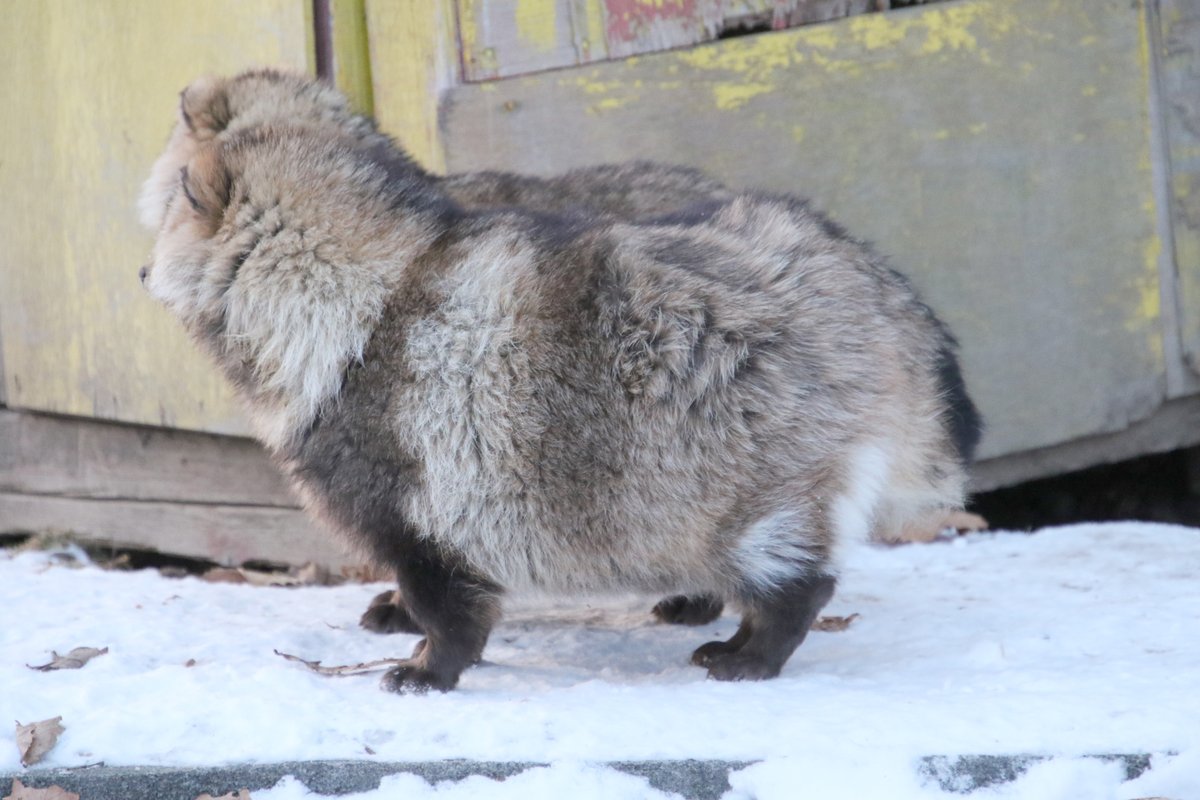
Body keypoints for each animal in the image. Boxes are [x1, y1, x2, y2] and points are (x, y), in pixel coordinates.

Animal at [142, 71, 984, 690]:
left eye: (168, 216)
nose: (142, 273)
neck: (362, 285)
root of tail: (869, 282)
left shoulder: (410, 483)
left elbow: (443, 590)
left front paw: (432, 663)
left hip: (755, 467)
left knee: (790, 571)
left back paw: (758, 643)